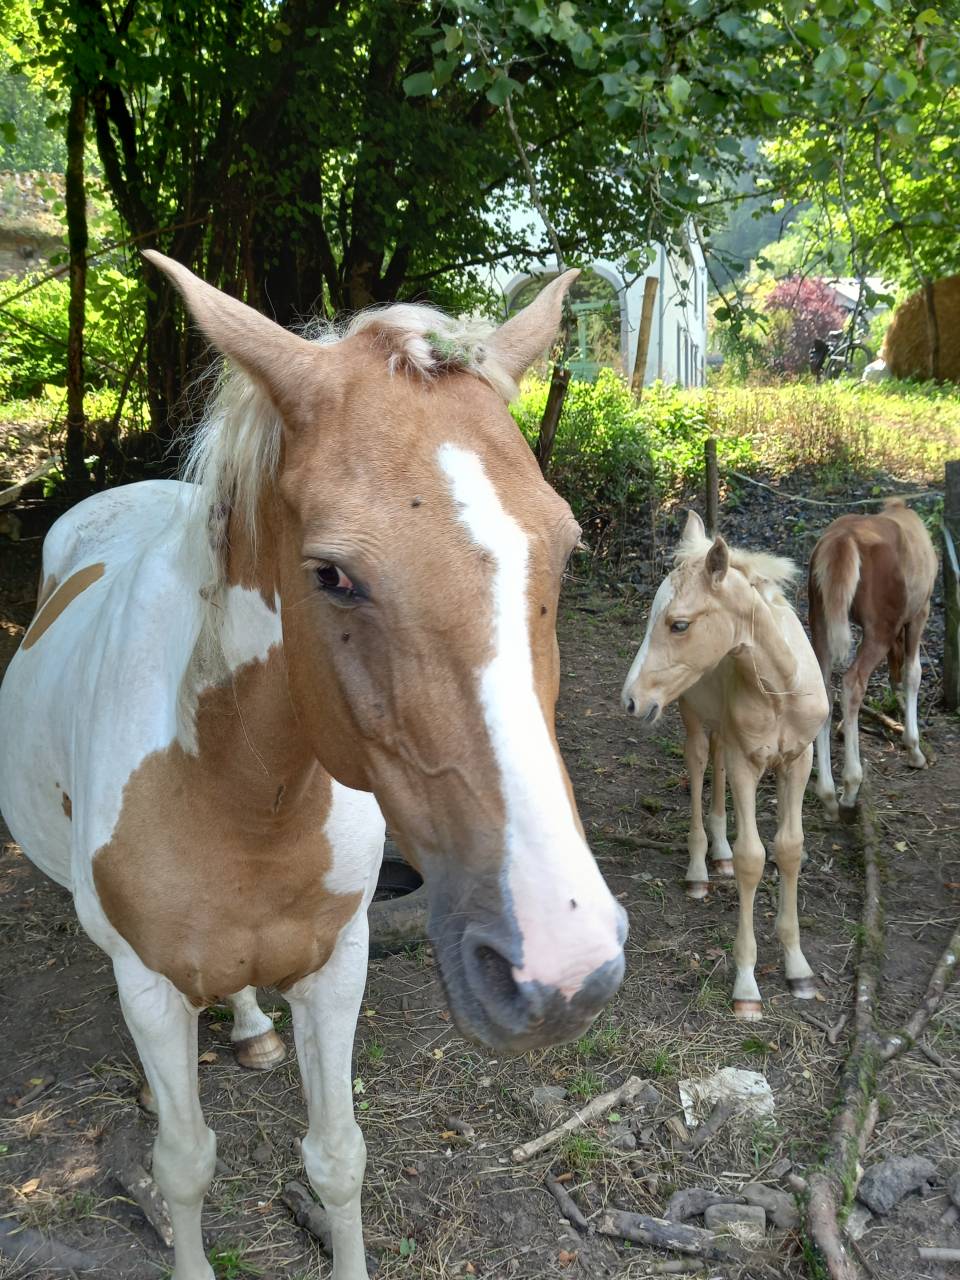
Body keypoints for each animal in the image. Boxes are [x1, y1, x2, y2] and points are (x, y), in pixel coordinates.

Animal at [0, 253, 627, 1280]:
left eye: (566, 551)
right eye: (332, 573)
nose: (562, 966)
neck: (244, 792)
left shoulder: (338, 965)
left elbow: (338, 1156)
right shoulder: (150, 984)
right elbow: (183, 1165)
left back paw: (253, 1031)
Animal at [620, 512, 829, 1019]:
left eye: (678, 624)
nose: (631, 700)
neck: (781, 687)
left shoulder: (799, 760)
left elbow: (790, 849)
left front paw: (798, 968)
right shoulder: (746, 762)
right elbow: (755, 857)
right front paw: (747, 985)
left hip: (722, 729)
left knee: (714, 770)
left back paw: (719, 854)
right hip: (693, 716)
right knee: (699, 766)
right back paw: (700, 868)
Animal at [808, 499, 938, 818]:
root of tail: (842, 540)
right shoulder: (919, 613)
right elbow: (914, 673)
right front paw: (914, 749)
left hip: (820, 622)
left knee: (826, 690)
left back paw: (827, 794)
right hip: (880, 629)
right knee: (852, 683)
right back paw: (850, 786)